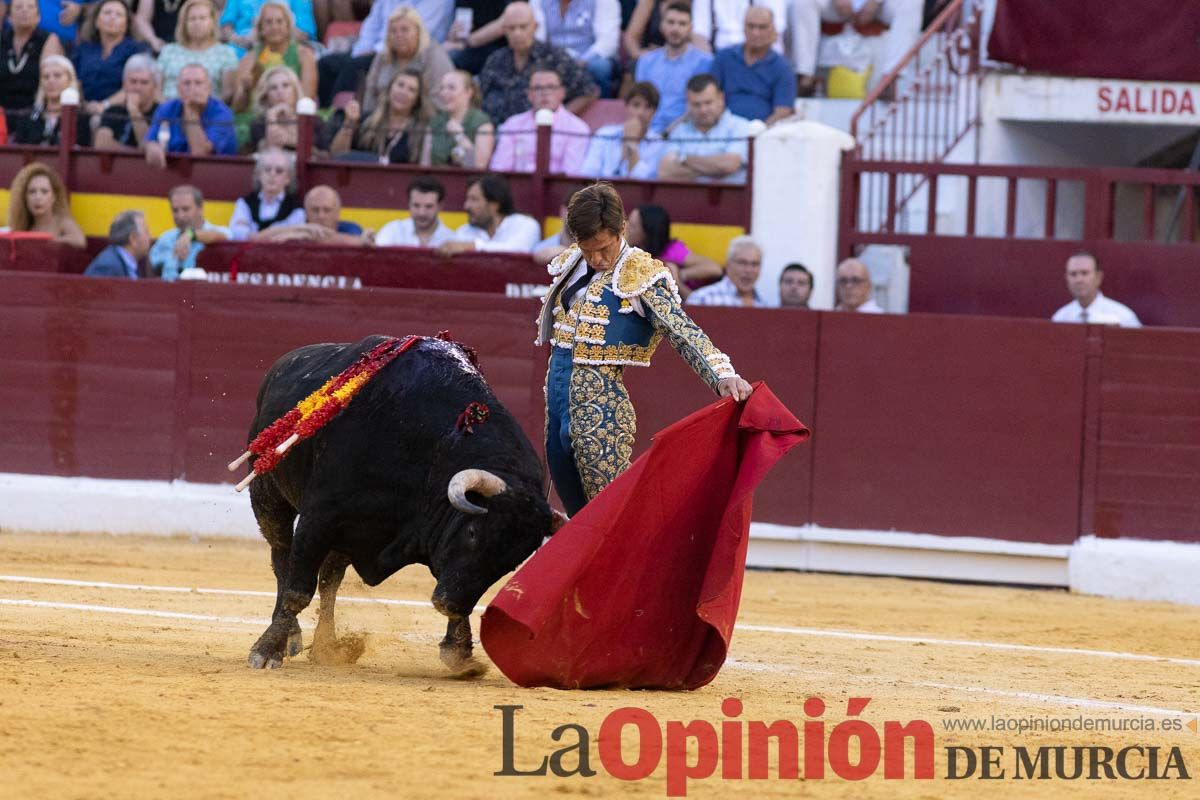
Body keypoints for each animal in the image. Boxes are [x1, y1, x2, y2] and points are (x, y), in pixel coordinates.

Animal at [244, 335, 561, 671]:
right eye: (474, 533)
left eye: (513, 561)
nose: (448, 603)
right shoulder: (319, 517)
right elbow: (297, 590)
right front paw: (267, 650)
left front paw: (459, 652)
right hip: (268, 496)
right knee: (282, 559)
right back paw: (290, 637)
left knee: (330, 579)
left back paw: (327, 644)